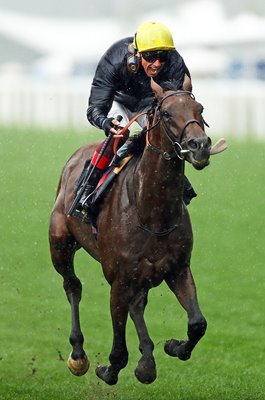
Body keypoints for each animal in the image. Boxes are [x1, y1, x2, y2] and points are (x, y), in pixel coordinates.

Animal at [48, 78, 211, 384]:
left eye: (200, 109)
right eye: (167, 114)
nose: (200, 146)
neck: (152, 214)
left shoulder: (178, 269)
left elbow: (197, 323)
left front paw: (173, 346)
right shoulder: (118, 280)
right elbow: (118, 347)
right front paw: (109, 369)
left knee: (138, 304)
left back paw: (147, 358)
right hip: (59, 243)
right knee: (72, 286)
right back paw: (78, 354)